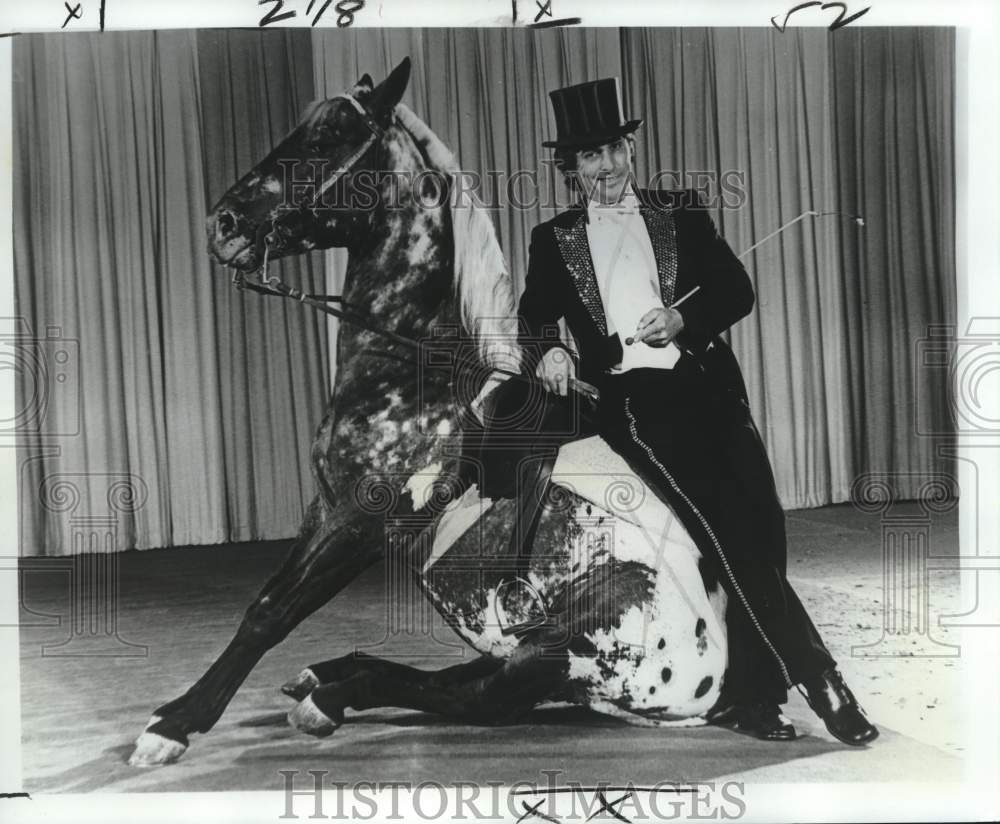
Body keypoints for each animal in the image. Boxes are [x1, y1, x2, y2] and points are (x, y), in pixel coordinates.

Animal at [131, 56, 728, 768]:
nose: (222, 224)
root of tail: (707, 686)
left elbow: (271, 612)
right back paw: (325, 677)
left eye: (327, 136)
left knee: (473, 697)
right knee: (452, 679)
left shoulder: (367, 522)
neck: (415, 373)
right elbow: (270, 596)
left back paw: (329, 697)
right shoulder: (325, 508)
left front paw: (174, 725)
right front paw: (177, 710)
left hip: (556, 651)